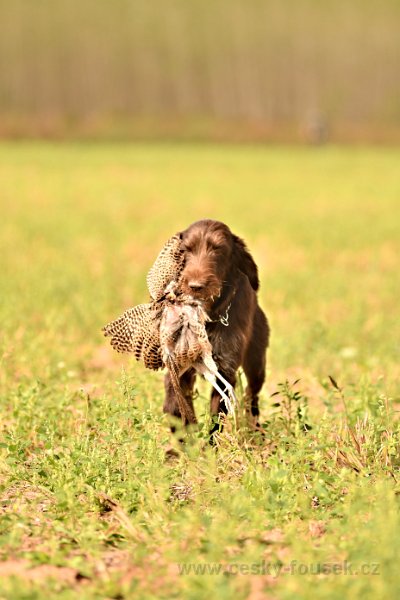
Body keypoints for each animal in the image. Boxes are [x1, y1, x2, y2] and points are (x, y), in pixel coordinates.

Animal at [162, 218, 268, 434]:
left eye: (218, 249)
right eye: (186, 249)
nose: (195, 286)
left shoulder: (224, 372)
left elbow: (216, 419)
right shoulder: (178, 368)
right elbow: (176, 406)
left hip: (257, 364)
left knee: (252, 397)